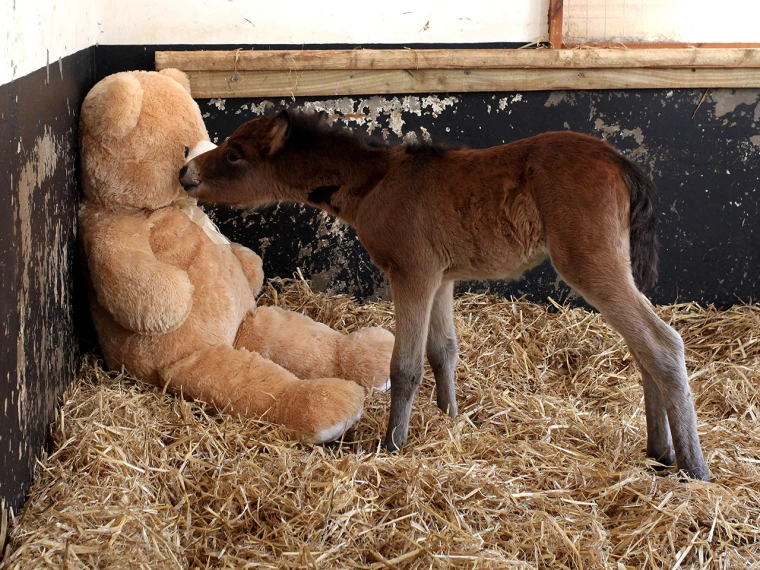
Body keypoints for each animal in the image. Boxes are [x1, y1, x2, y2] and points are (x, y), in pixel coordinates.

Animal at [180, 110, 709, 481]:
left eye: (234, 154)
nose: (185, 173)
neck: (375, 183)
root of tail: (621, 162)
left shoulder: (411, 273)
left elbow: (406, 366)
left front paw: (393, 444)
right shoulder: (441, 276)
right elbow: (443, 350)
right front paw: (450, 419)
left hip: (590, 262)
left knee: (662, 343)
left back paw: (694, 468)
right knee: (642, 349)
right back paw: (660, 452)